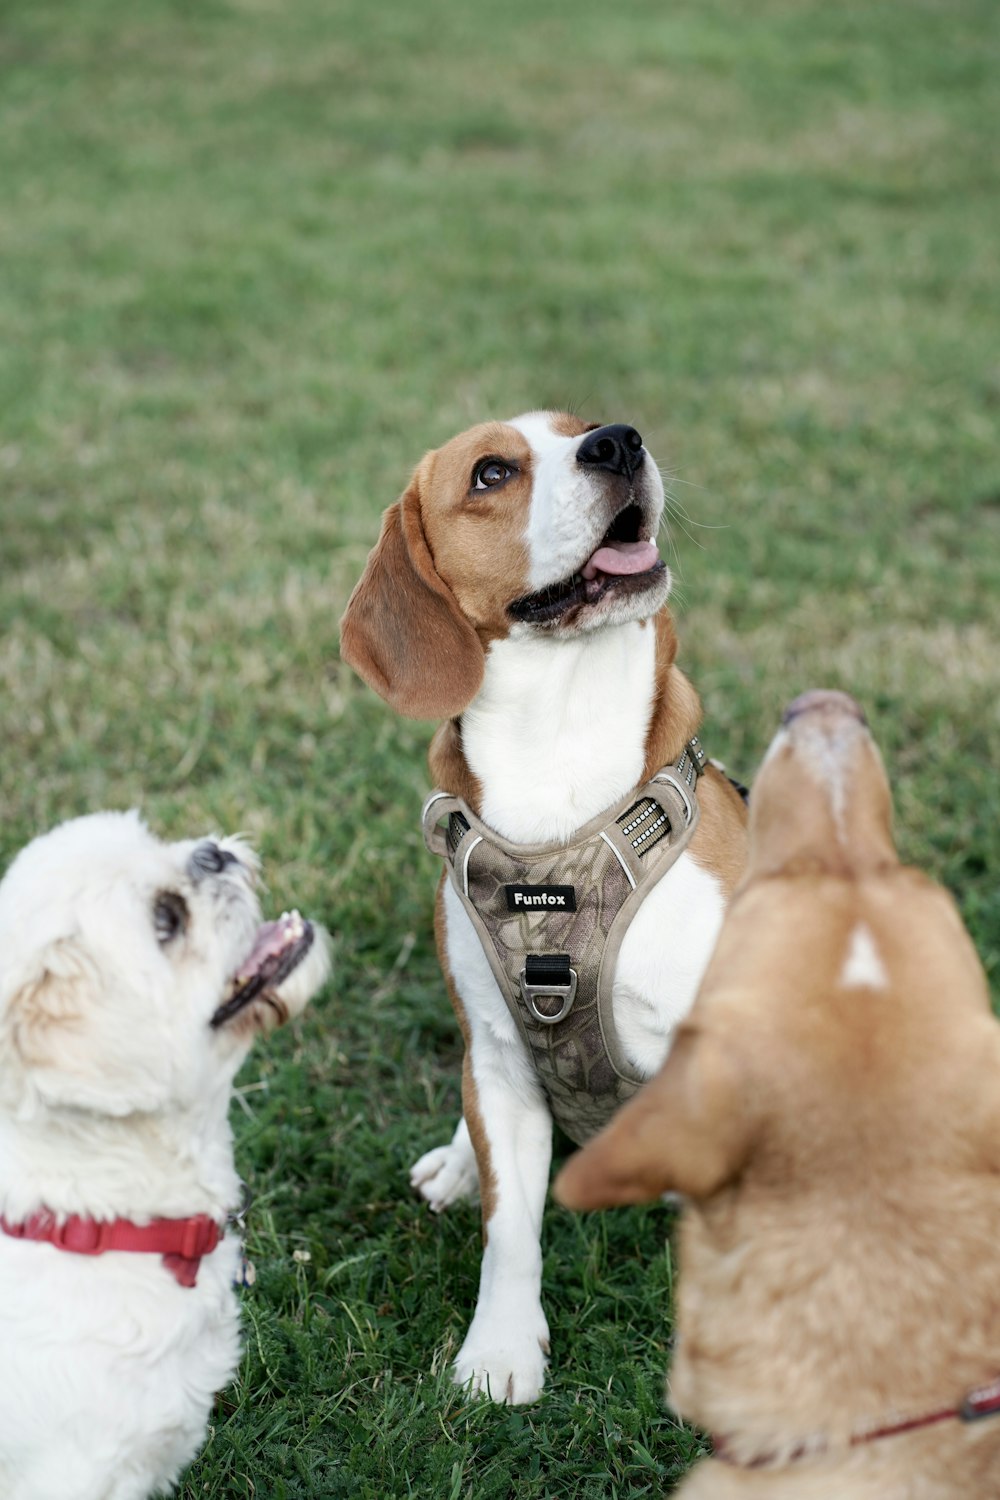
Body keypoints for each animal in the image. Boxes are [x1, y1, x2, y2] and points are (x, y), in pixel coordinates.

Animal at [340, 414, 746, 1404]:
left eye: (588, 422)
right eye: (492, 473)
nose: (619, 441)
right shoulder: (499, 1058)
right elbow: (509, 1232)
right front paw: (499, 1353)